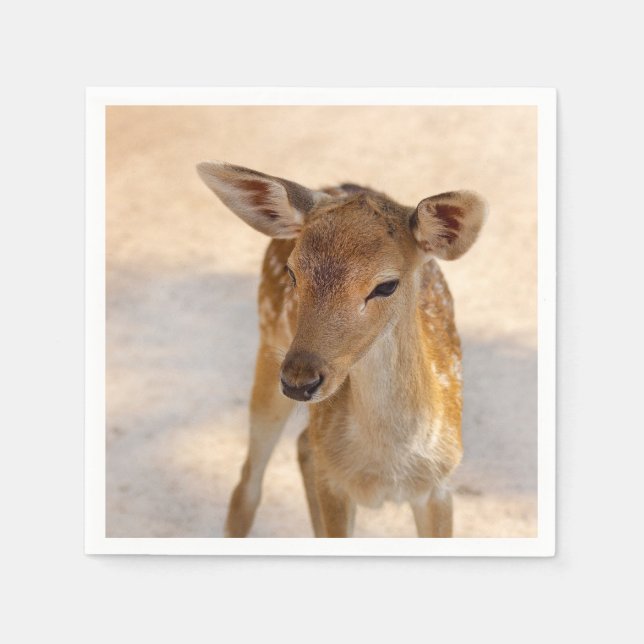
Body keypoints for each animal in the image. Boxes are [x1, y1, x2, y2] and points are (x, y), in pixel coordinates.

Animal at [197, 161, 487, 538]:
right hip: (268, 345)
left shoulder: (440, 485)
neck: (386, 468)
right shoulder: (335, 484)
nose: (299, 380)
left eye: (386, 285)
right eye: (293, 273)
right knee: (248, 484)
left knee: (303, 444)